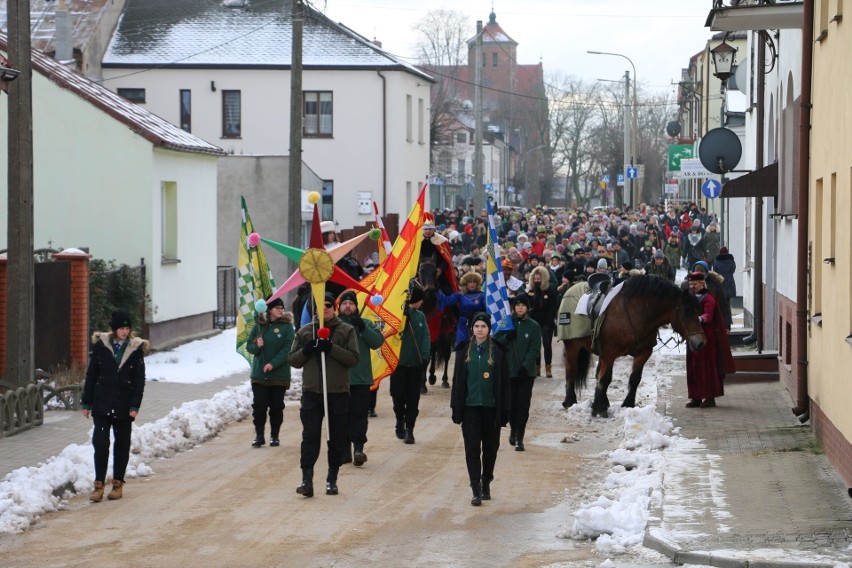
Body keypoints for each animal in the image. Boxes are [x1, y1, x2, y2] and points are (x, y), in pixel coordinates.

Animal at [564, 276, 708, 418]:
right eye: (687, 312)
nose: (701, 342)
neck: (637, 312)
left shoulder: (643, 353)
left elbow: (634, 379)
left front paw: (627, 405)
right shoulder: (609, 353)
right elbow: (604, 379)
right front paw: (599, 409)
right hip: (573, 346)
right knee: (571, 370)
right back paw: (570, 401)